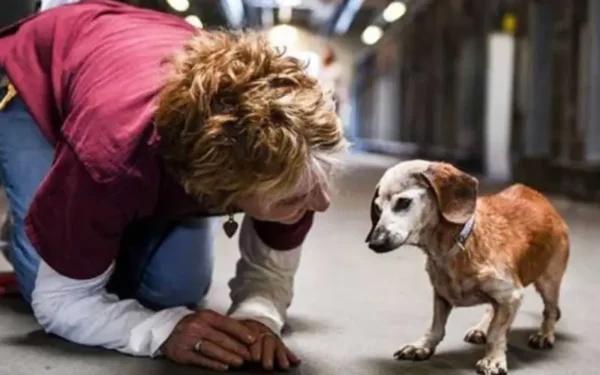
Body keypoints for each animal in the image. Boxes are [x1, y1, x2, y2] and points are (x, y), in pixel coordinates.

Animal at [366, 160, 568, 375]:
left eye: (403, 202)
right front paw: (422, 346)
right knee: (492, 309)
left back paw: (544, 335)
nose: (374, 243)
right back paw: (481, 328)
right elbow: (436, 327)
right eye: (377, 208)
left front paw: (493, 359)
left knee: (551, 310)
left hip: (548, 282)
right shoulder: (442, 295)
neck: (458, 245)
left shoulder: (511, 295)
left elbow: (497, 333)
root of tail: (540, 198)